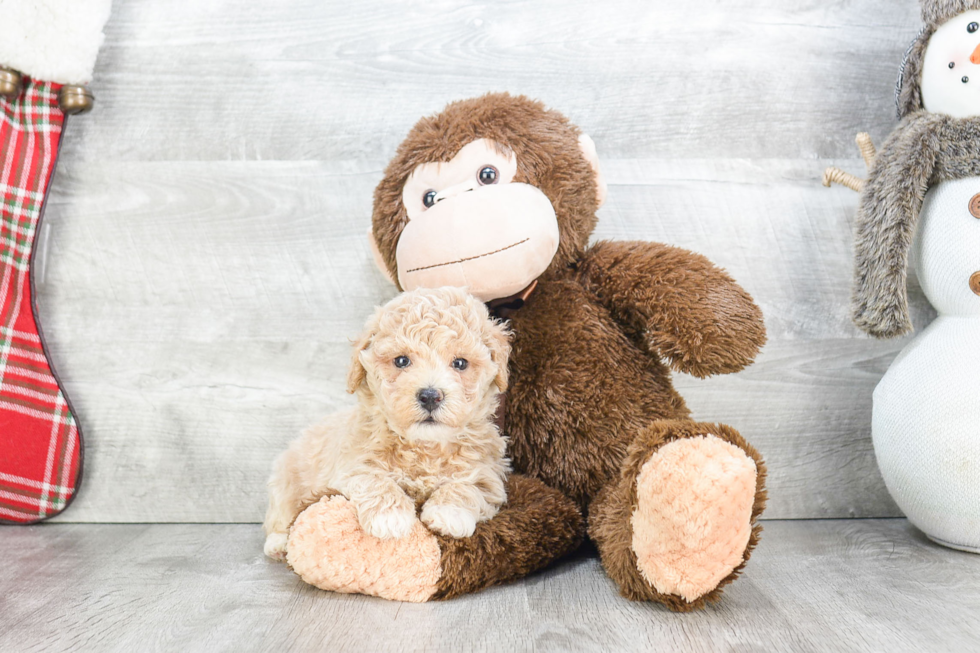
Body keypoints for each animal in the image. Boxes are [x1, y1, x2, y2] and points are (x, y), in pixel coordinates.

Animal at [260, 288, 512, 556]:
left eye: (460, 363)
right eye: (401, 361)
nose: (430, 396)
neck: (424, 447)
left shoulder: (490, 474)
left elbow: (470, 486)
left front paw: (448, 512)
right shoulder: (351, 466)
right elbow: (374, 479)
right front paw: (390, 517)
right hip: (285, 482)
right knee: (279, 517)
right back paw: (278, 543)